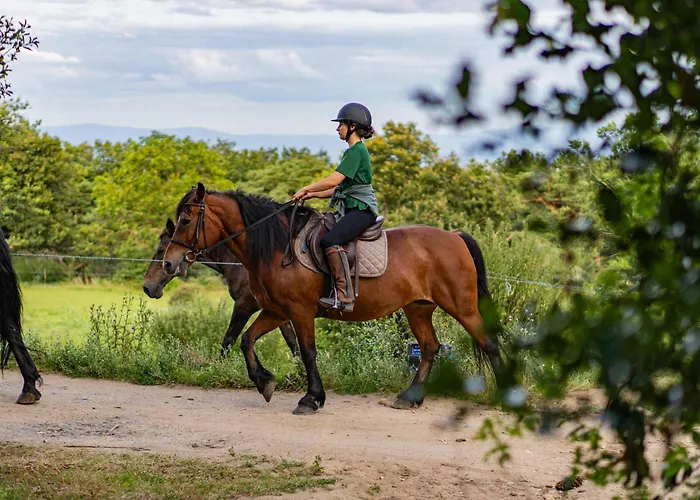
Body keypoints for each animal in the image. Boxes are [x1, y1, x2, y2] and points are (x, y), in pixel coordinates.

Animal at [162, 183, 503, 415]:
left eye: (187, 220)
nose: (169, 263)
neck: (277, 248)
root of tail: (455, 236)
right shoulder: (277, 311)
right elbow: (247, 340)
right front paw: (265, 382)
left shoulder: (299, 312)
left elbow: (308, 352)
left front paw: (311, 399)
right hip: (417, 308)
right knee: (430, 348)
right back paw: (410, 398)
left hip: (461, 307)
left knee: (488, 343)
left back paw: (503, 396)